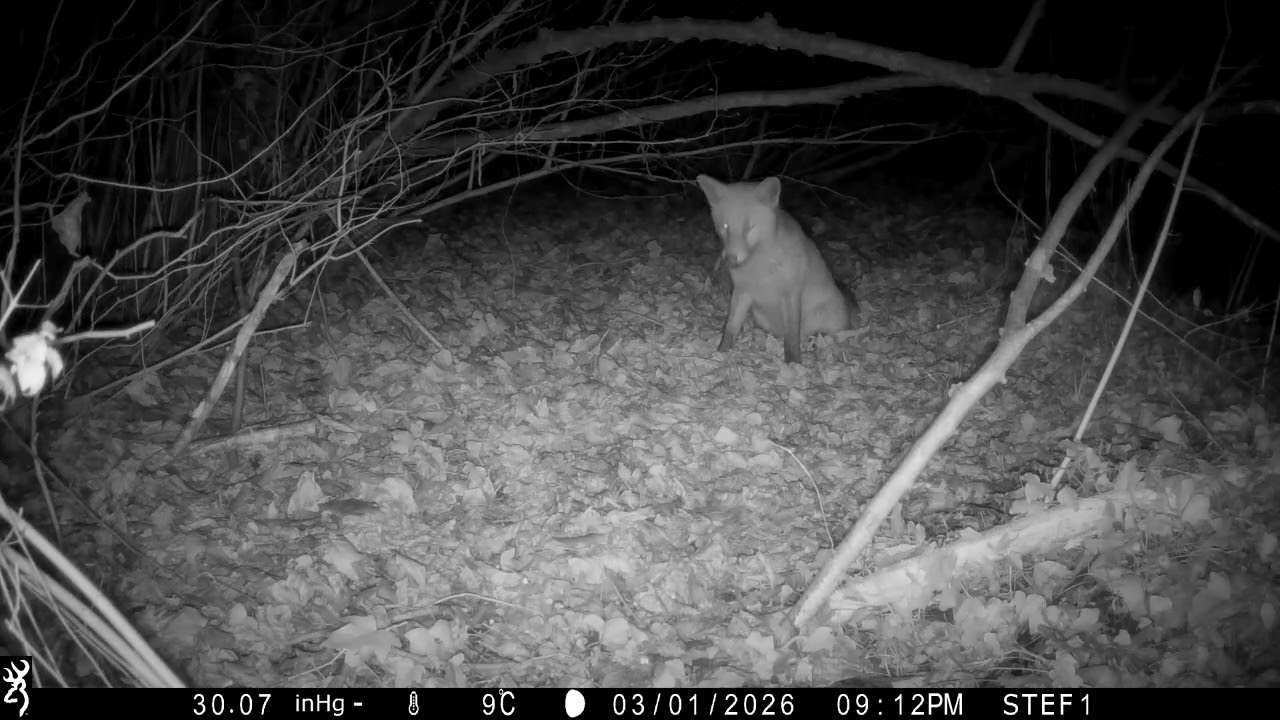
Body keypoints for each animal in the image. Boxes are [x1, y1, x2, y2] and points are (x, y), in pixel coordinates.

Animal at [695, 174, 854, 364]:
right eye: (725, 227)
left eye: (751, 227)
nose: (731, 259)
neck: (759, 271)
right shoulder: (742, 291)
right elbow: (730, 328)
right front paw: (721, 353)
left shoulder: (791, 293)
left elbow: (791, 337)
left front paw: (794, 363)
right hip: (760, 316)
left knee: (826, 335)